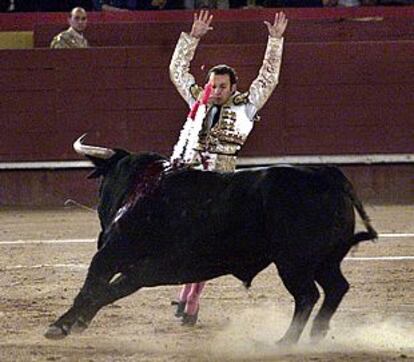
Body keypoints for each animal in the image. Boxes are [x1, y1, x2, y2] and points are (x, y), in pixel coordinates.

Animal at [45, 147, 378, 342]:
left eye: (102, 183)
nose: (102, 229)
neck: (139, 189)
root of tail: (326, 173)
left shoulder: (118, 257)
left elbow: (95, 288)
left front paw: (61, 326)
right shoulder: (139, 270)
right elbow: (104, 290)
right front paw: (76, 323)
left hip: (294, 263)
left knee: (308, 295)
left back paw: (287, 341)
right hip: (323, 260)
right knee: (336, 287)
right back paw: (316, 335)